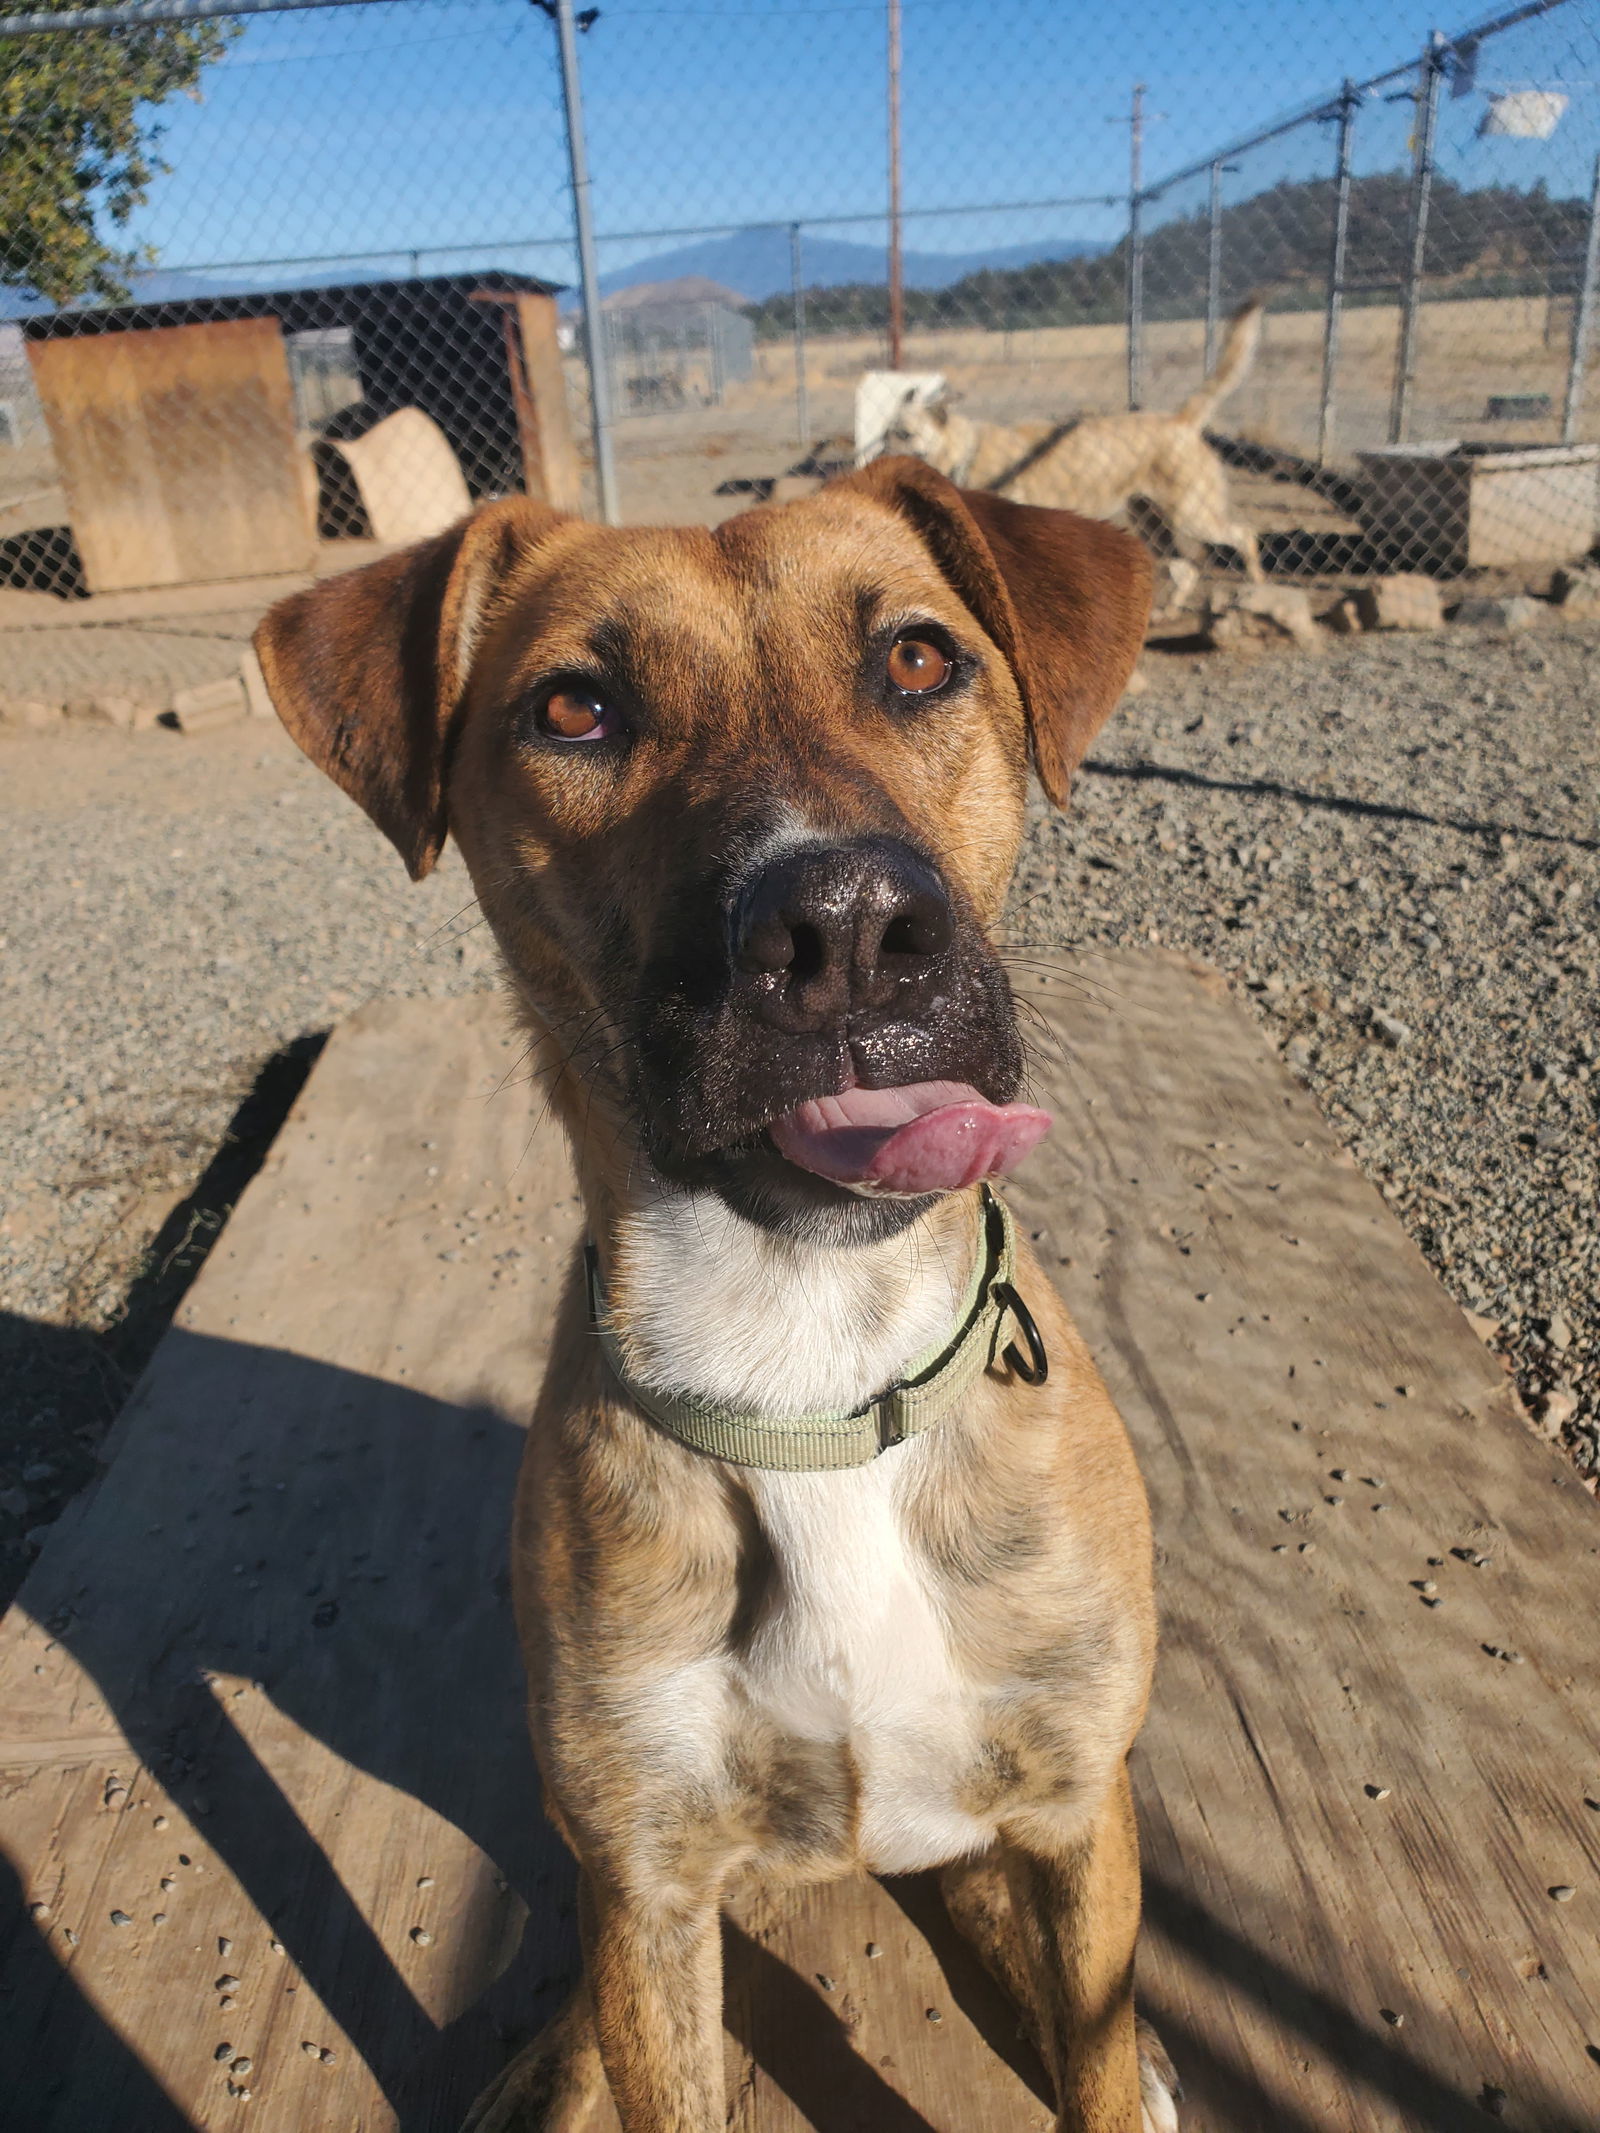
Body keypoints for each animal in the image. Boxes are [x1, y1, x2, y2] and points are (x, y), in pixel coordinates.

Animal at [260, 462, 1177, 2133]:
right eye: (574, 707)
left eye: (920, 659)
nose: (852, 927)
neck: (811, 1361)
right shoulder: (649, 1879)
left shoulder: (1082, 1805)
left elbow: (1087, 2037)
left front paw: (1111, 2062)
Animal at [891, 296, 1262, 584]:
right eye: (889, 431)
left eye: (906, 434)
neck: (966, 453)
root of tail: (1180, 420)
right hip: (1151, 523)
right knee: (1185, 570)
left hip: (1192, 516)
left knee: (1246, 536)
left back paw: (1255, 586)